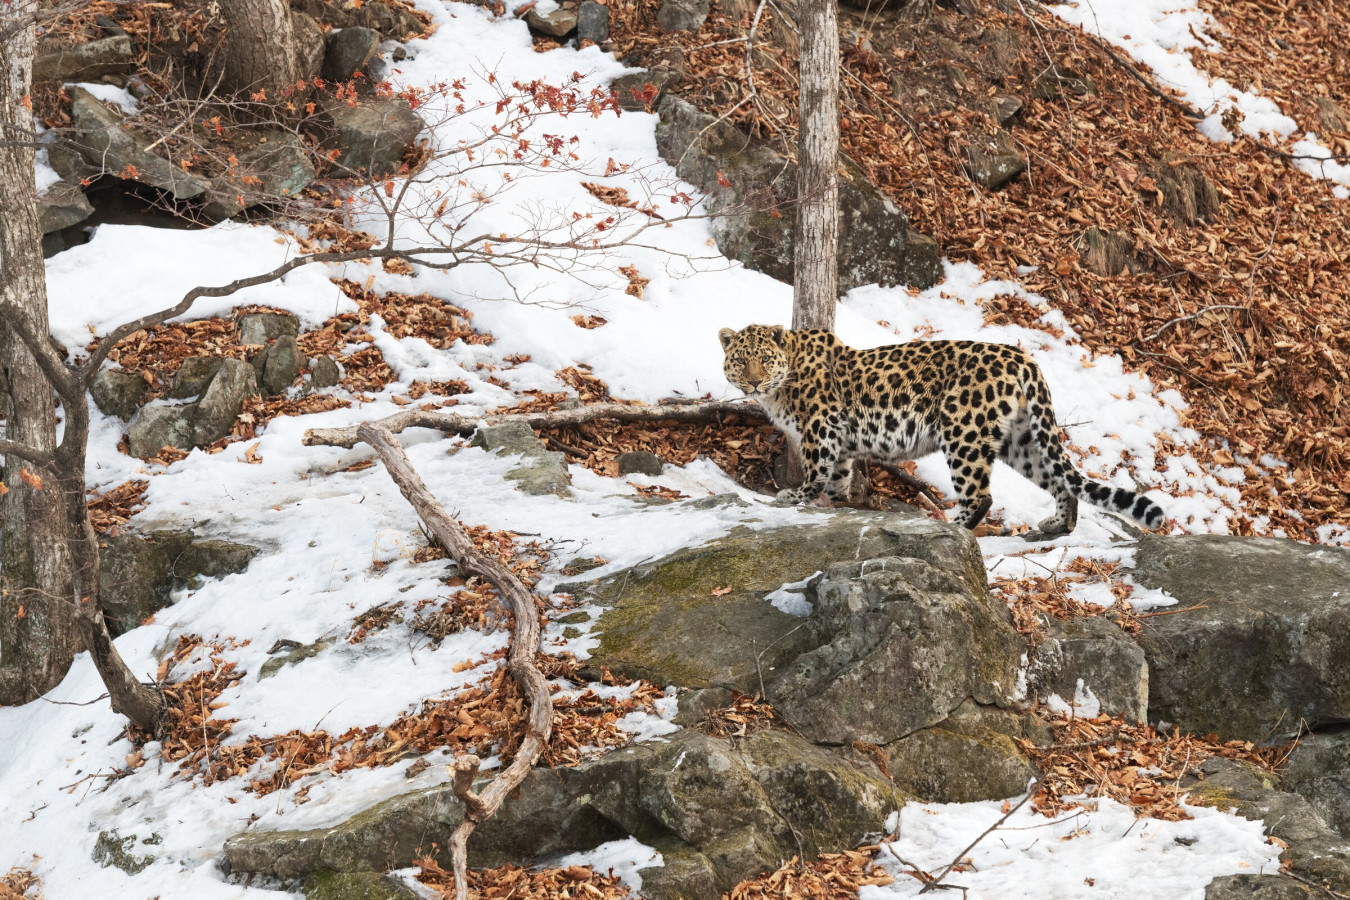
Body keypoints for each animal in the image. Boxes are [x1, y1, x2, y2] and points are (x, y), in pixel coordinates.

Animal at [723, 323, 1166, 534]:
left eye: (764, 359)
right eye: (741, 361)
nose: (753, 383)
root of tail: (1024, 359)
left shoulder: (822, 426)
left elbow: (816, 471)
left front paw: (793, 497)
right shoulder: (842, 445)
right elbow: (837, 479)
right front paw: (839, 506)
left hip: (963, 431)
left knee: (981, 496)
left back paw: (952, 528)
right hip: (1020, 439)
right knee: (1061, 481)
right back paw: (1057, 525)